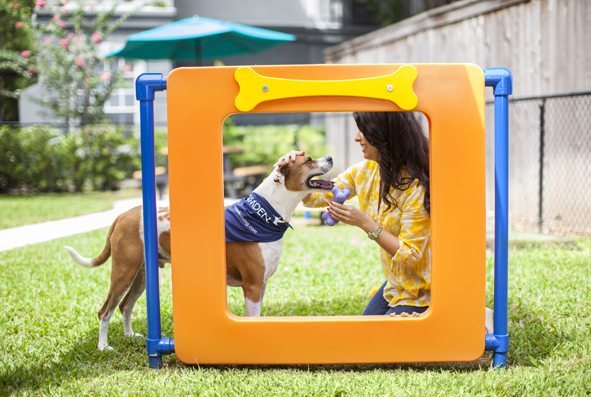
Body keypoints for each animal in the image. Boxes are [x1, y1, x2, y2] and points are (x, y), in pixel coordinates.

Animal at [65, 155, 336, 350]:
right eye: (309, 160)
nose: (331, 157)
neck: (265, 214)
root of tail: (122, 215)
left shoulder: (262, 285)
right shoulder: (252, 286)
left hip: (141, 275)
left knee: (125, 306)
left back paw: (131, 336)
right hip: (123, 271)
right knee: (105, 311)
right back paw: (103, 347)